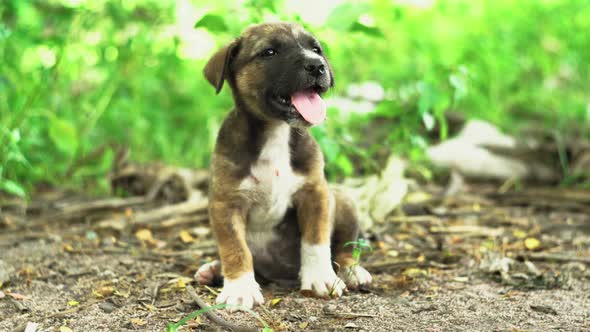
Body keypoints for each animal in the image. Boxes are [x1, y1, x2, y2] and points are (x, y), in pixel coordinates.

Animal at [198, 22, 374, 308]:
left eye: (316, 49)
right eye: (269, 52)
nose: (317, 66)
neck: (276, 132)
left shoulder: (315, 193)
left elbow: (315, 241)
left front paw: (320, 278)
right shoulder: (225, 203)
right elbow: (235, 248)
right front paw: (240, 288)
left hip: (343, 200)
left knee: (345, 247)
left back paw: (351, 271)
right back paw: (214, 269)